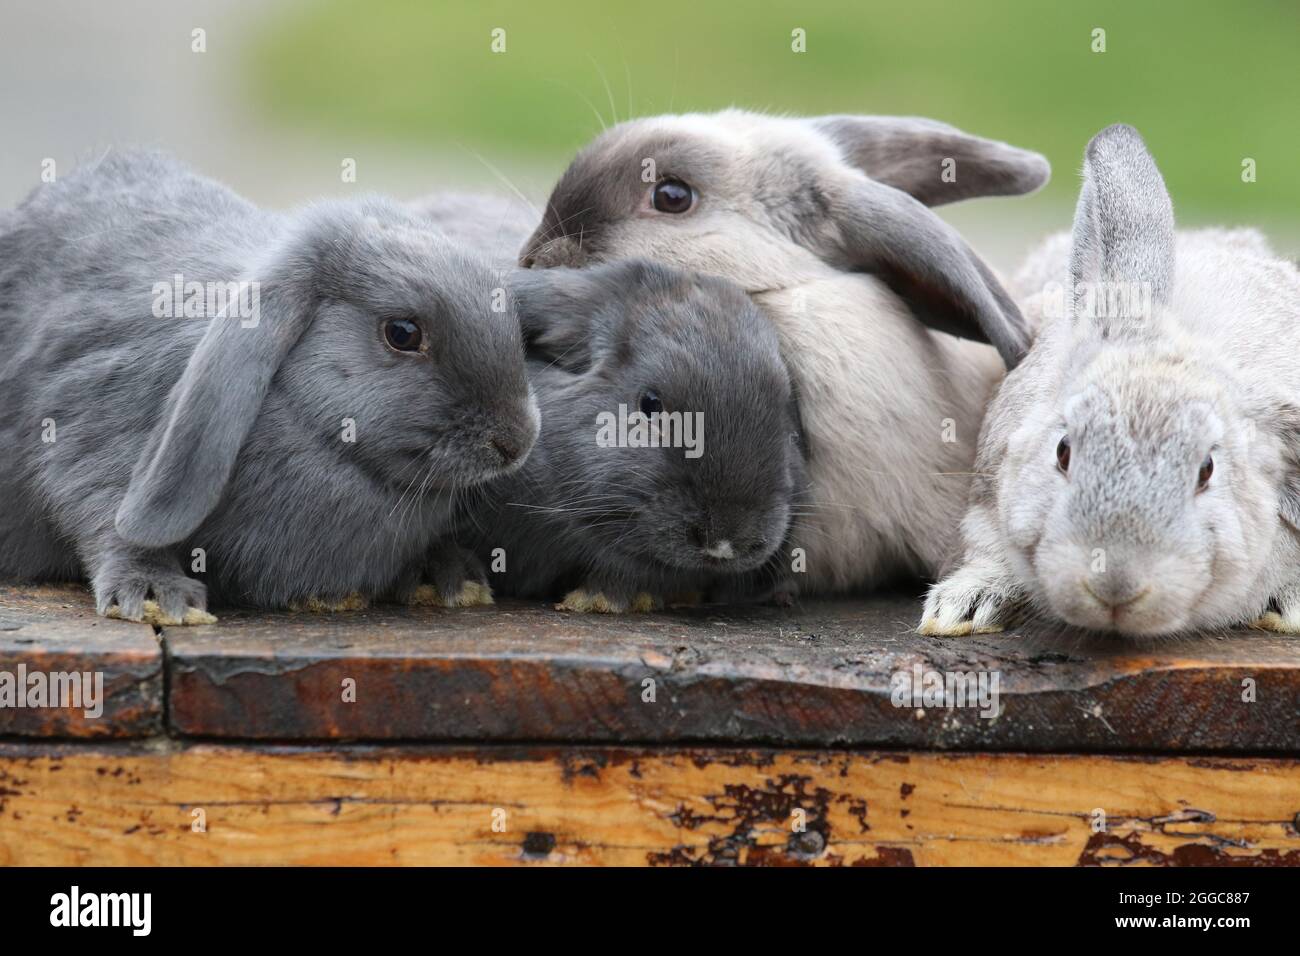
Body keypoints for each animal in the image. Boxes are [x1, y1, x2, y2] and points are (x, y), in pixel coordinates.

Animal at [0, 149, 538, 624]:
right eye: (402, 333)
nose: (516, 442)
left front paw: (450, 575)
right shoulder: (91, 424)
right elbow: (100, 513)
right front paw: (158, 595)